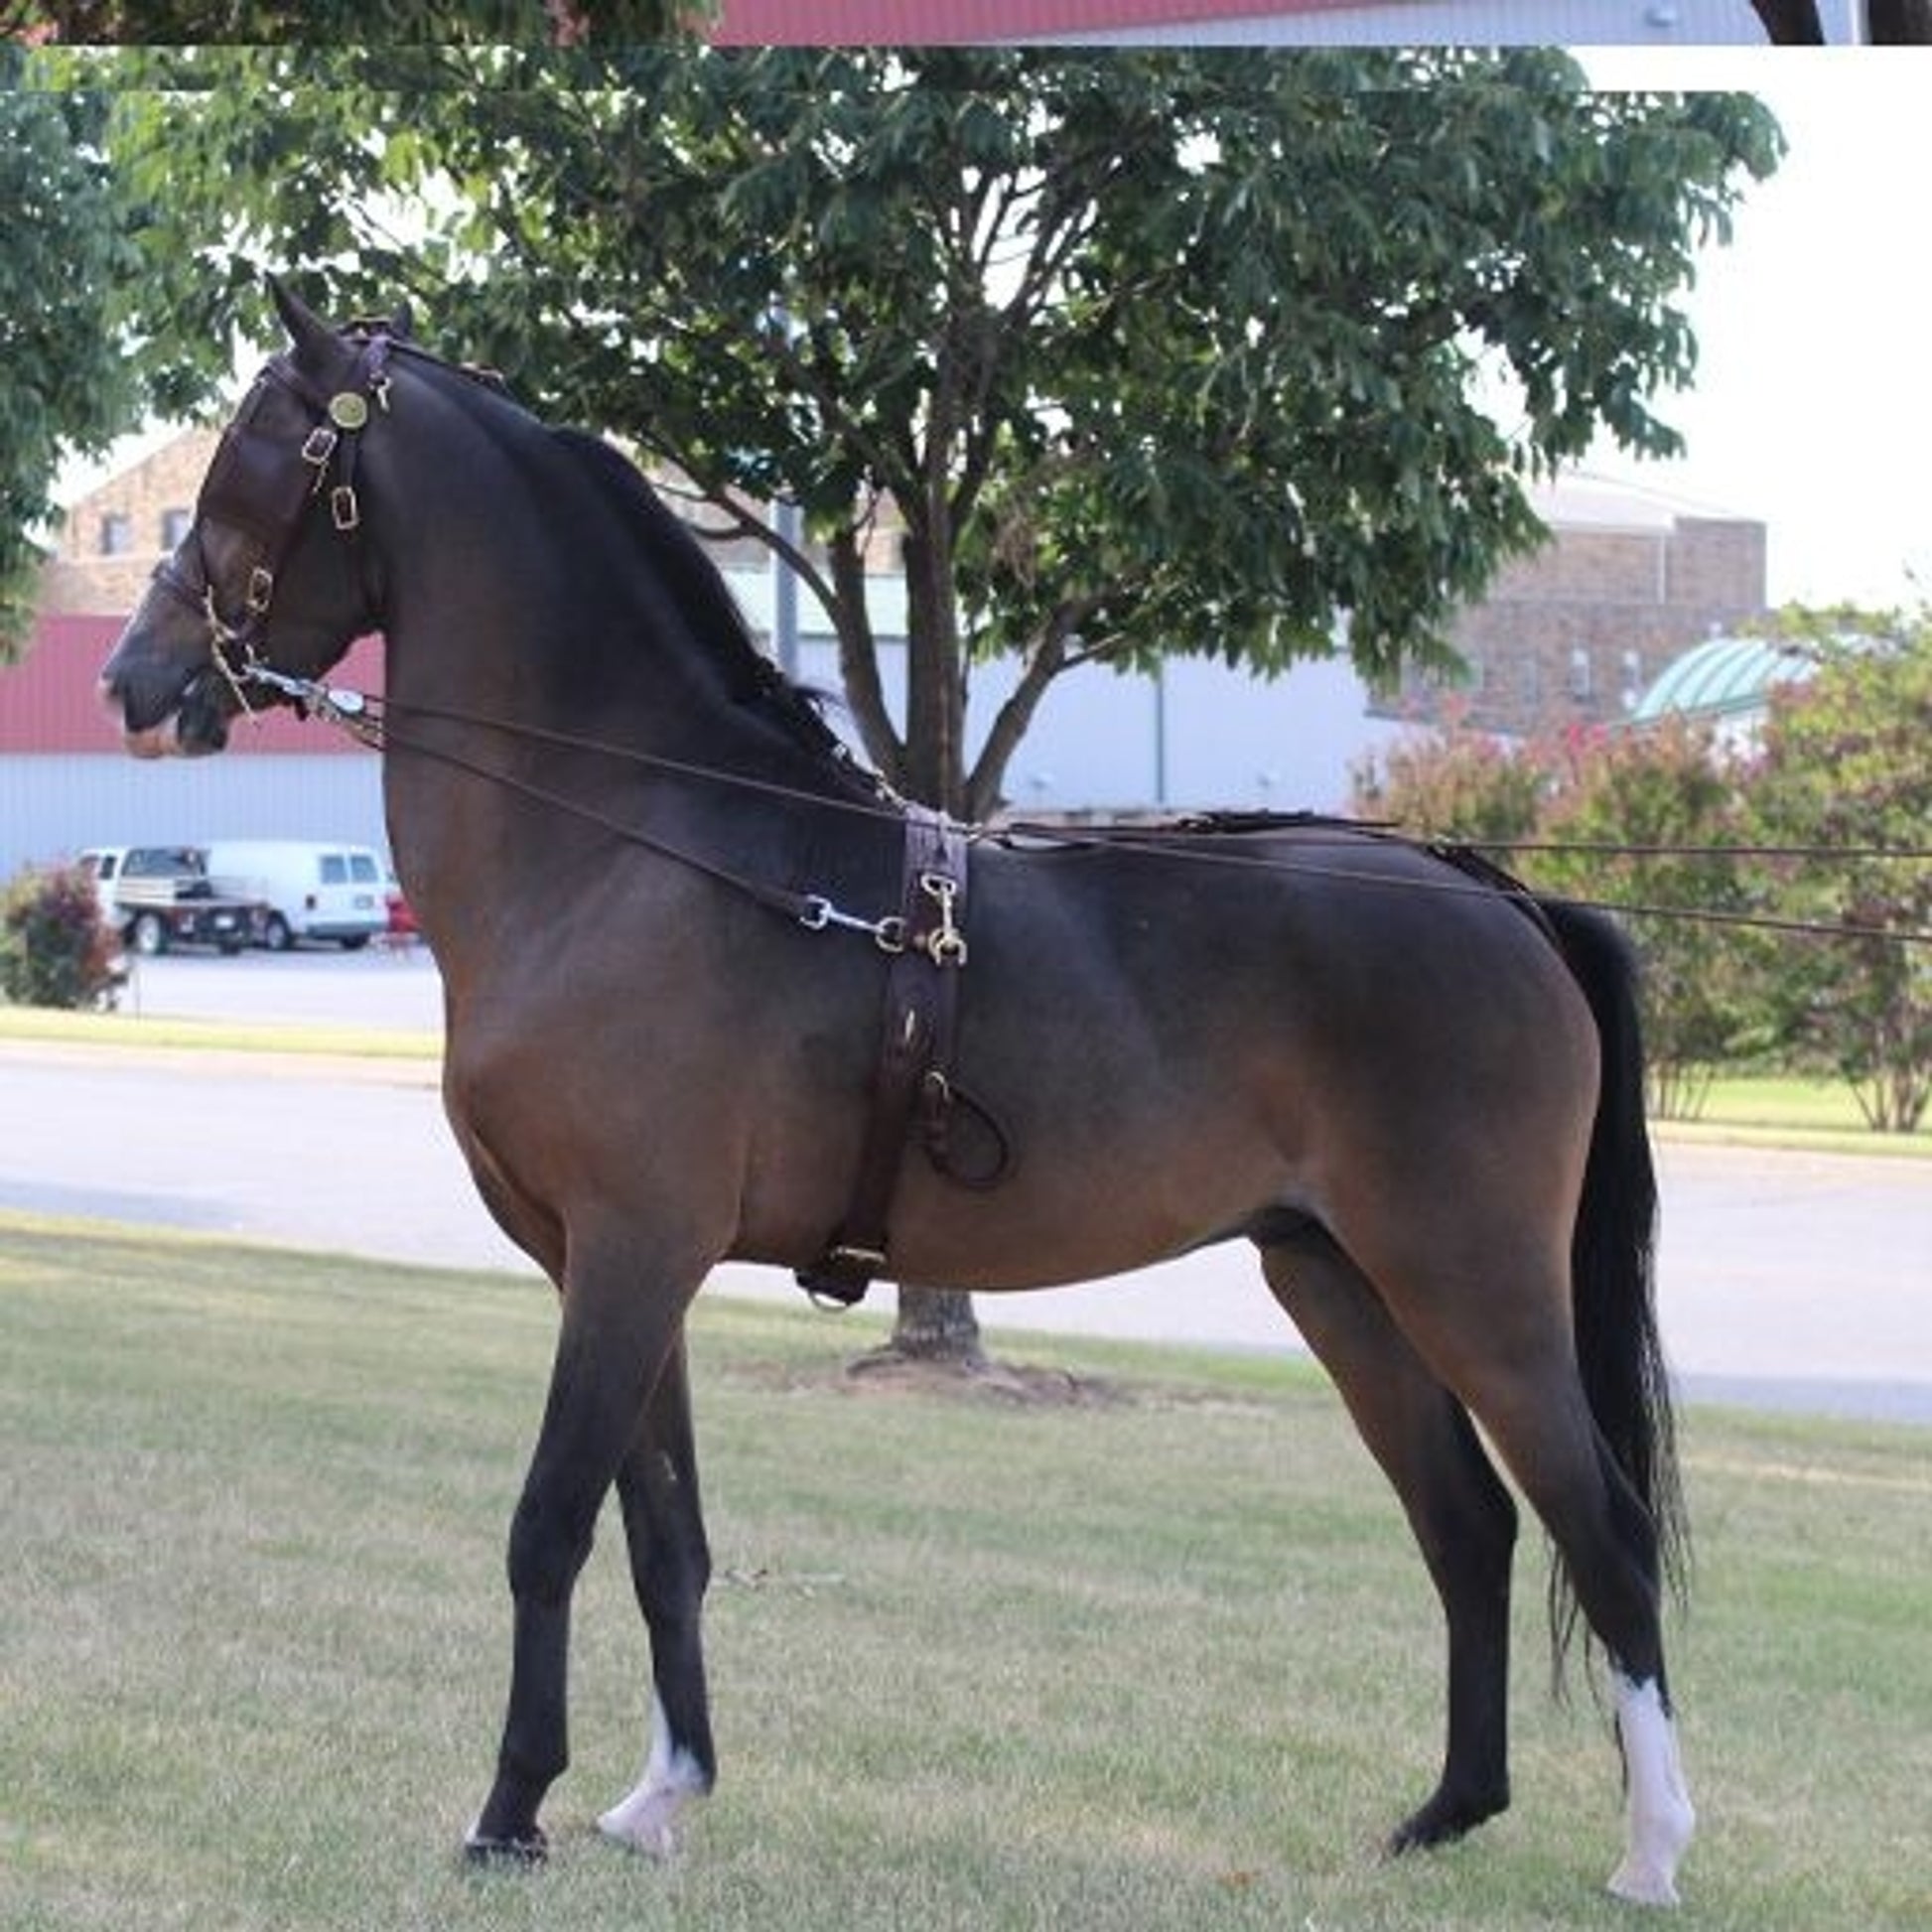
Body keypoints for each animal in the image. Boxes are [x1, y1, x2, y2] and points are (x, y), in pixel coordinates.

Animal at [100, 283, 1695, 1905]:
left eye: (249, 459)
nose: (133, 675)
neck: (634, 842)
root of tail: (1489, 892)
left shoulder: (628, 1251)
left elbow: (549, 1522)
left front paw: (508, 1812)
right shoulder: (626, 1268)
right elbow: (662, 1535)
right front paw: (659, 1795)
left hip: (1472, 1281)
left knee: (1602, 1527)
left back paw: (1649, 1850)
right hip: (1337, 1277)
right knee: (1468, 1526)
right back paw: (1444, 1811)